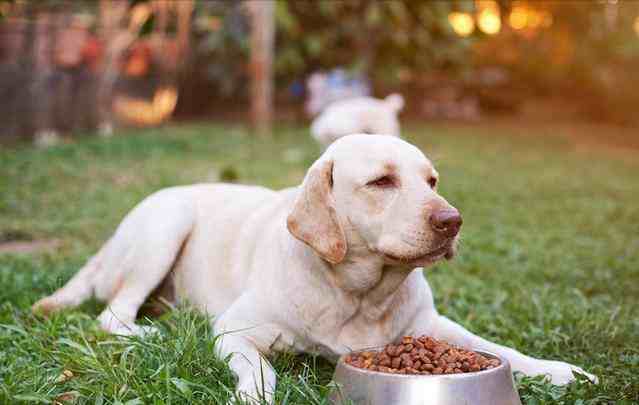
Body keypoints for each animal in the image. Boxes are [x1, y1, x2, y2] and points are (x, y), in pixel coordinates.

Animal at [33, 135, 596, 400]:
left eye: (432, 181)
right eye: (381, 182)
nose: (452, 221)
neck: (360, 293)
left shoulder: (433, 328)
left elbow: (502, 350)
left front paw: (559, 370)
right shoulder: (234, 330)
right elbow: (258, 369)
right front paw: (254, 394)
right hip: (166, 224)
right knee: (111, 315)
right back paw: (153, 332)